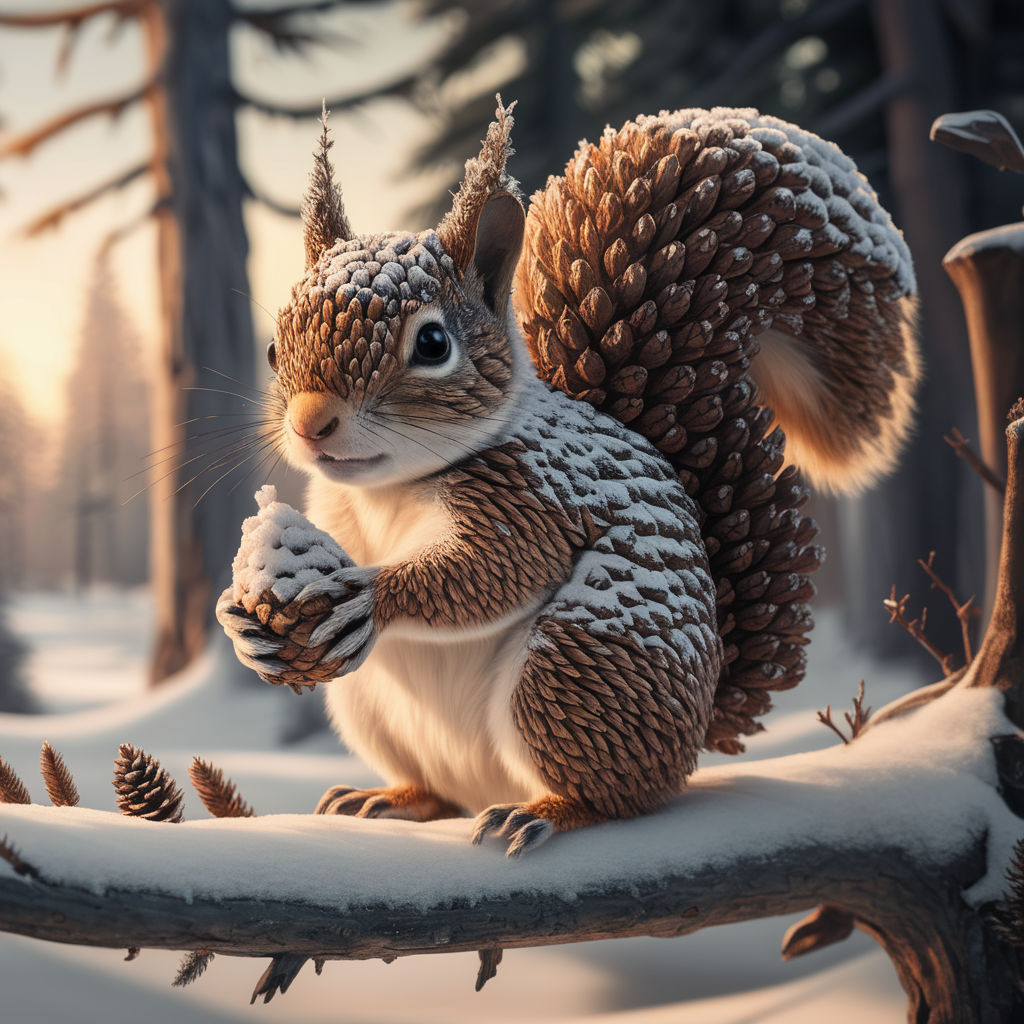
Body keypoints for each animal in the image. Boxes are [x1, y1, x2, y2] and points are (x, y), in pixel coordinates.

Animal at [217, 100, 919, 856]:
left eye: (433, 344)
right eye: (273, 348)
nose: (310, 423)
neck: (391, 488)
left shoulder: (533, 496)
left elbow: (491, 572)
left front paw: (372, 596)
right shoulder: (336, 506)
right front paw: (237, 616)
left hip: (579, 675)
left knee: (613, 797)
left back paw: (544, 812)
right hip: (373, 706)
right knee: (439, 793)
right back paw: (391, 797)